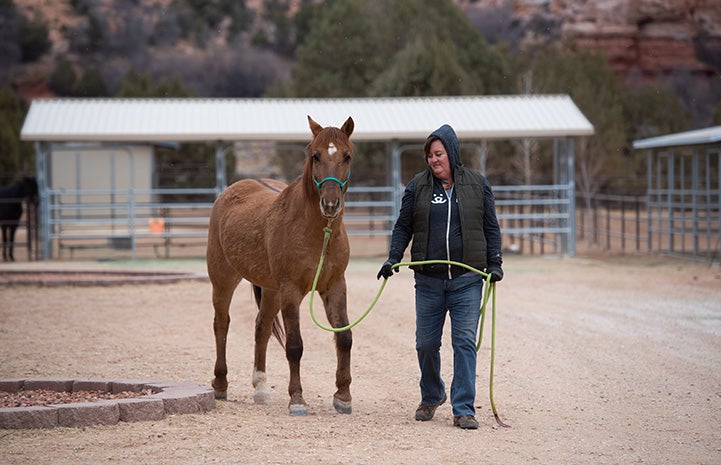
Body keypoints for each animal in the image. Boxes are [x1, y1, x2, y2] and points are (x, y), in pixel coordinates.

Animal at [205, 114, 354, 416]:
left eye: (346, 156)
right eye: (315, 155)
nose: (330, 204)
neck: (317, 231)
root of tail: (231, 190)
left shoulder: (334, 286)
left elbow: (344, 337)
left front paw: (343, 396)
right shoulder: (291, 291)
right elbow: (294, 346)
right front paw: (297, 399)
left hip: (271, 290)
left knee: (261, 327)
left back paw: (261, 388)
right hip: (223, 279)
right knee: (221, 324)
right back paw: (221, 383)